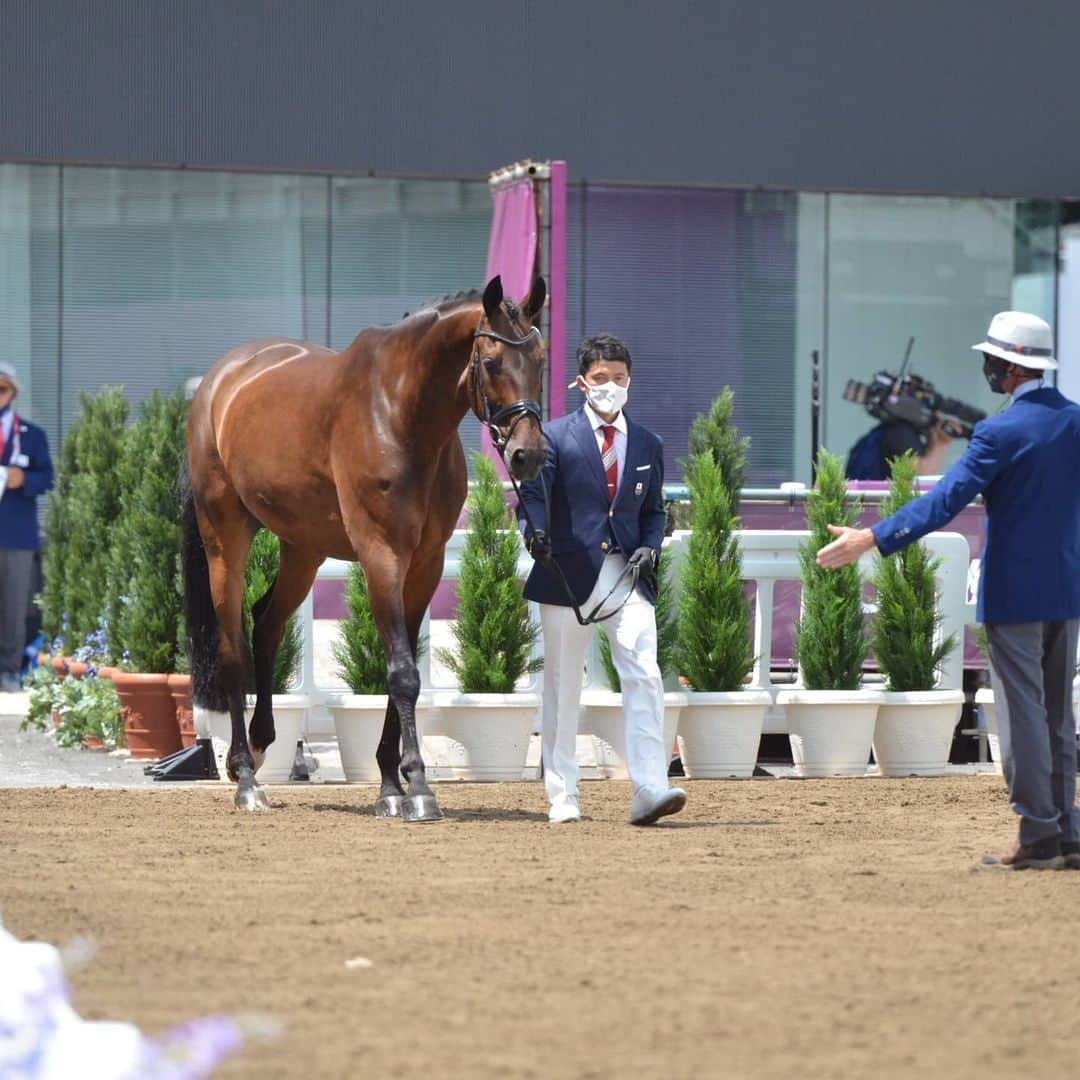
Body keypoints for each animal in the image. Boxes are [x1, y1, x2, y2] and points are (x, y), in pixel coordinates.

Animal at [182, 276, 548, 816]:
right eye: (491, 363)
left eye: (541, 360)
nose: (528, 455)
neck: (400, 415)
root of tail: (219, 380)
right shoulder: (382, 556)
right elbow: (401, 673)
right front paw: (417, 787)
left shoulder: (425, 566)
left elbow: (405, 669)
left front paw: (391, 785)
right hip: (225, 539)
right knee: (232, 647)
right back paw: (247, 779)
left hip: (304, 549)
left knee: (266, 622)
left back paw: (261, 742)